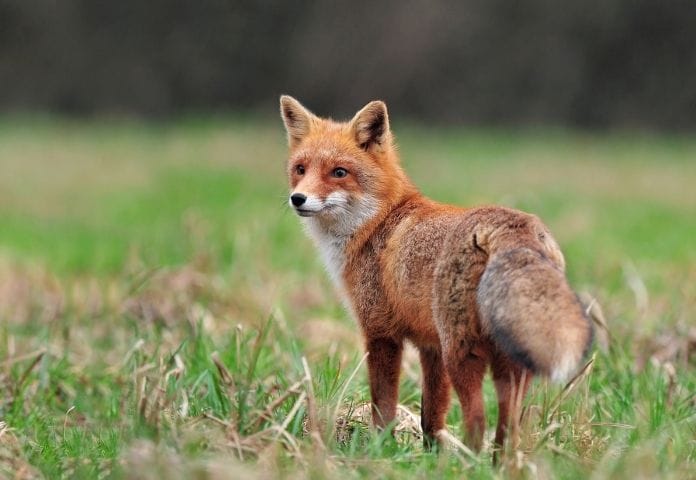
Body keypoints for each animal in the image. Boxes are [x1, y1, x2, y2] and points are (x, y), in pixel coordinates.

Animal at [279, 95, 593, 456]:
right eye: (300, 169)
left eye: (339, 172)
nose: (298, 199)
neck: (378, 223)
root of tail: (513, 226)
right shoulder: (430, 346)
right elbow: (431, 415)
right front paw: (429, 455)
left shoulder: (381, 333)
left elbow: (383, 406)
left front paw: (381, 450)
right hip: (507, 362)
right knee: (508, 426)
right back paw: (499, 462)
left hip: (463, 354)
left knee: (477, 420)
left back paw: (469, 463)